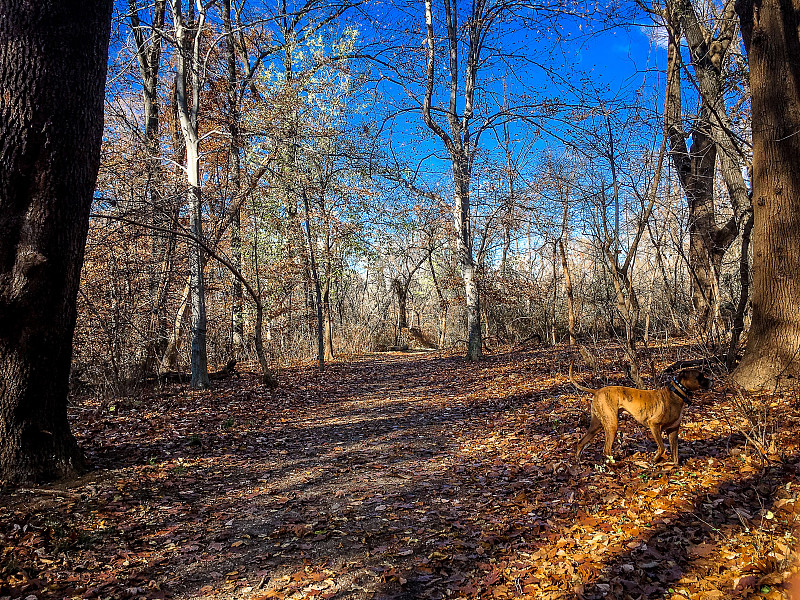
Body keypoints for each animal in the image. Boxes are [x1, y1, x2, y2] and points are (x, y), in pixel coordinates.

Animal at [568, 360, 712, 464]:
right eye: (700, 376)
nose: (712, 380)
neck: (676, 393)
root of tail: (597, 391)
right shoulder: (654, 425)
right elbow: (662, 447)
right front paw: (654, 460)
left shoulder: (673, 431)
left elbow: (675, 456)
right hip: (611, 425)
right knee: (606, 450)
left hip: (596, 426)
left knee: (581, 442)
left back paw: (578, 462)